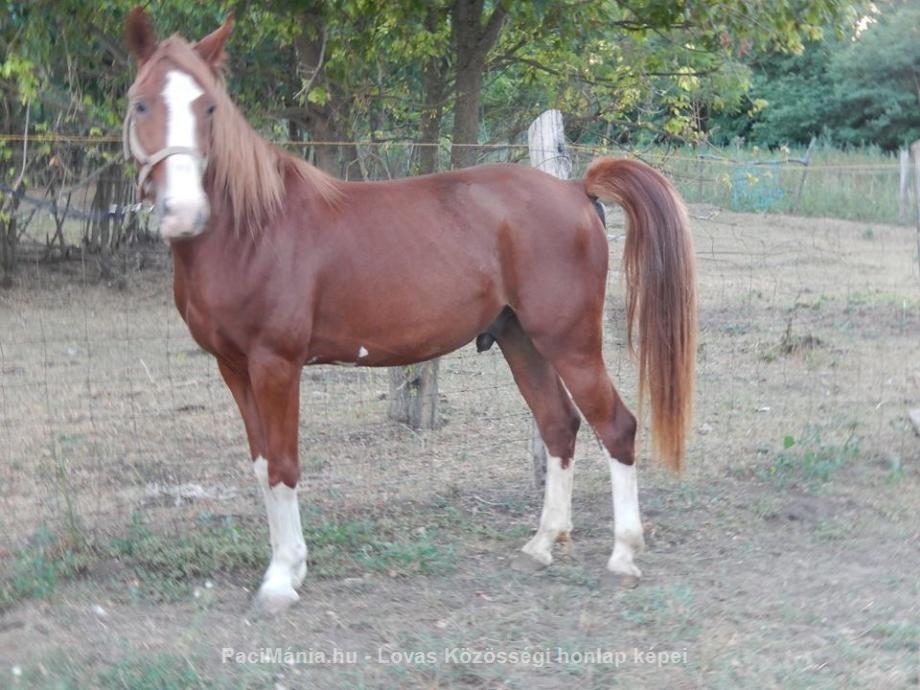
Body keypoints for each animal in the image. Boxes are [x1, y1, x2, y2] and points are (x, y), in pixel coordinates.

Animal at [124, 4, 696, 608]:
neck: (252, 229)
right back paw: (542, 543)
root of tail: (574, 191)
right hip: (521, 340)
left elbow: (282, 465)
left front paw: (281, 578)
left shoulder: (275, 364)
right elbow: (261, 466)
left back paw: (623, 554)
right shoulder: (233, 367)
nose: (183, 212)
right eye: (140, 103)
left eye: (208, 106)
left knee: (616, 426)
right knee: (559, 425)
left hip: (570, 342)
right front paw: (288, 566)